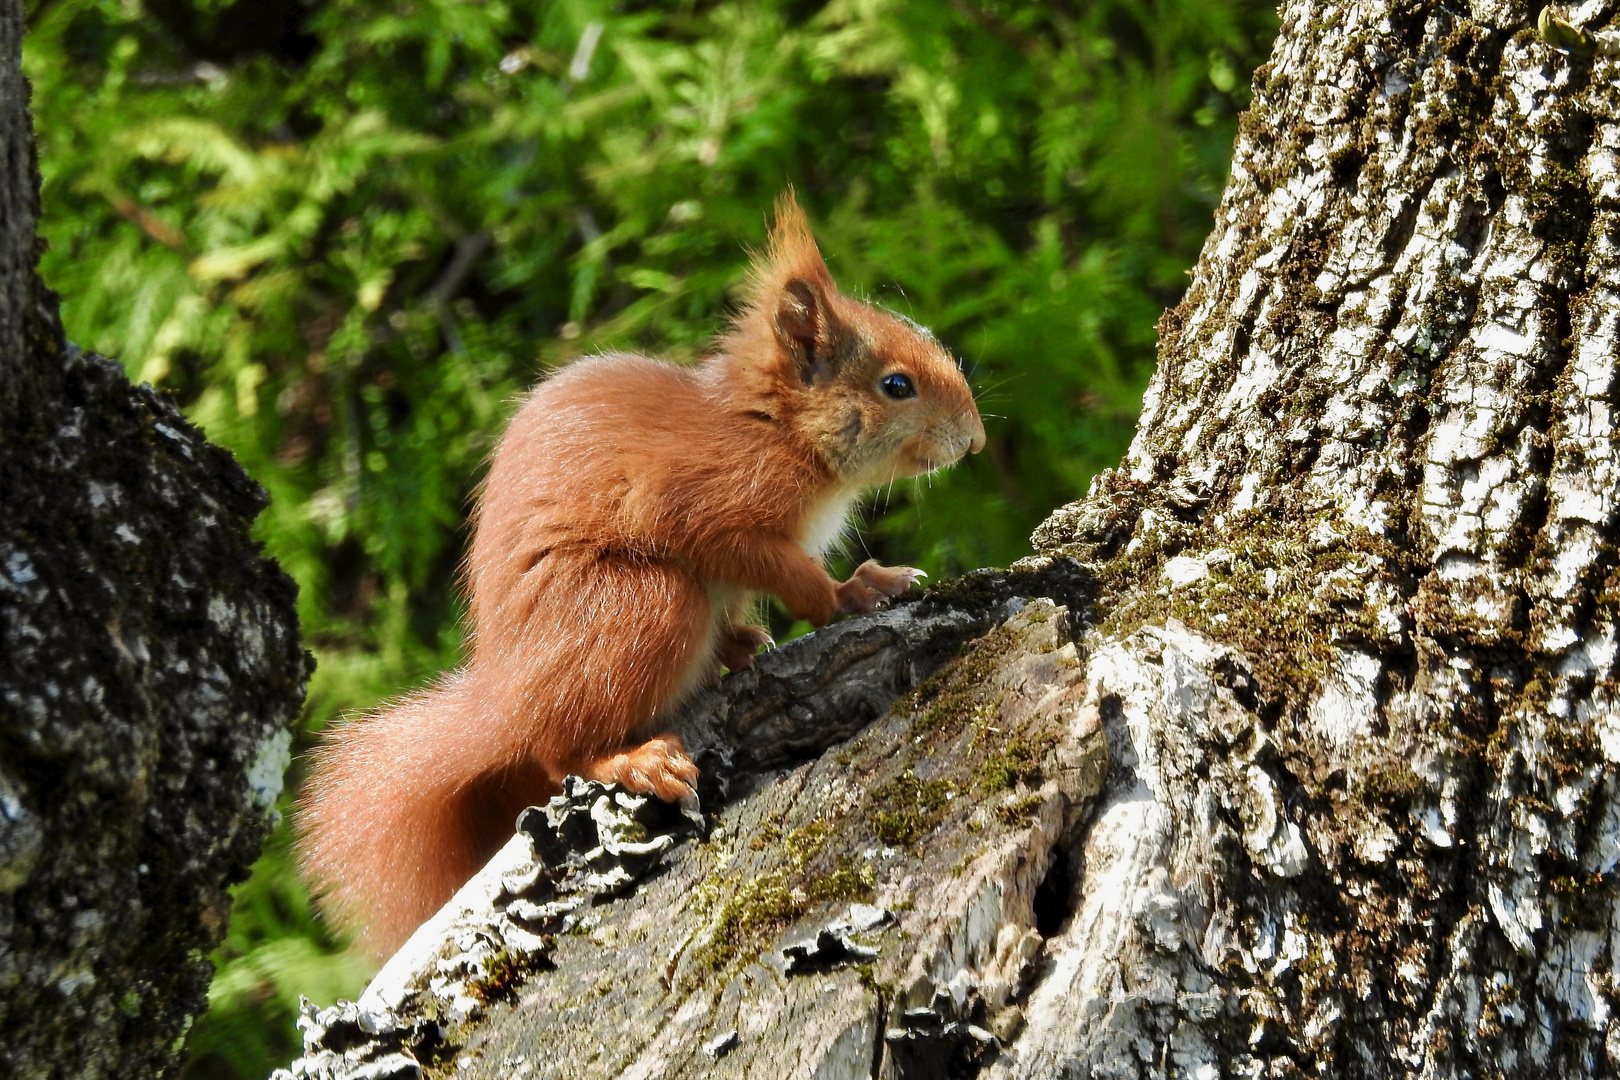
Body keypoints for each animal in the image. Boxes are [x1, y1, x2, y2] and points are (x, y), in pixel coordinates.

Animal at [301, 191, 984, 952]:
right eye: (896, 385)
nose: (976, 439)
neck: (773, 428)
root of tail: (506, 699)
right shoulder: (704, 505)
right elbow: (778, 570)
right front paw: (843, 596)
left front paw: (860, 589)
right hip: (644, 605)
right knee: (557, 752)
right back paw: (634, 760)